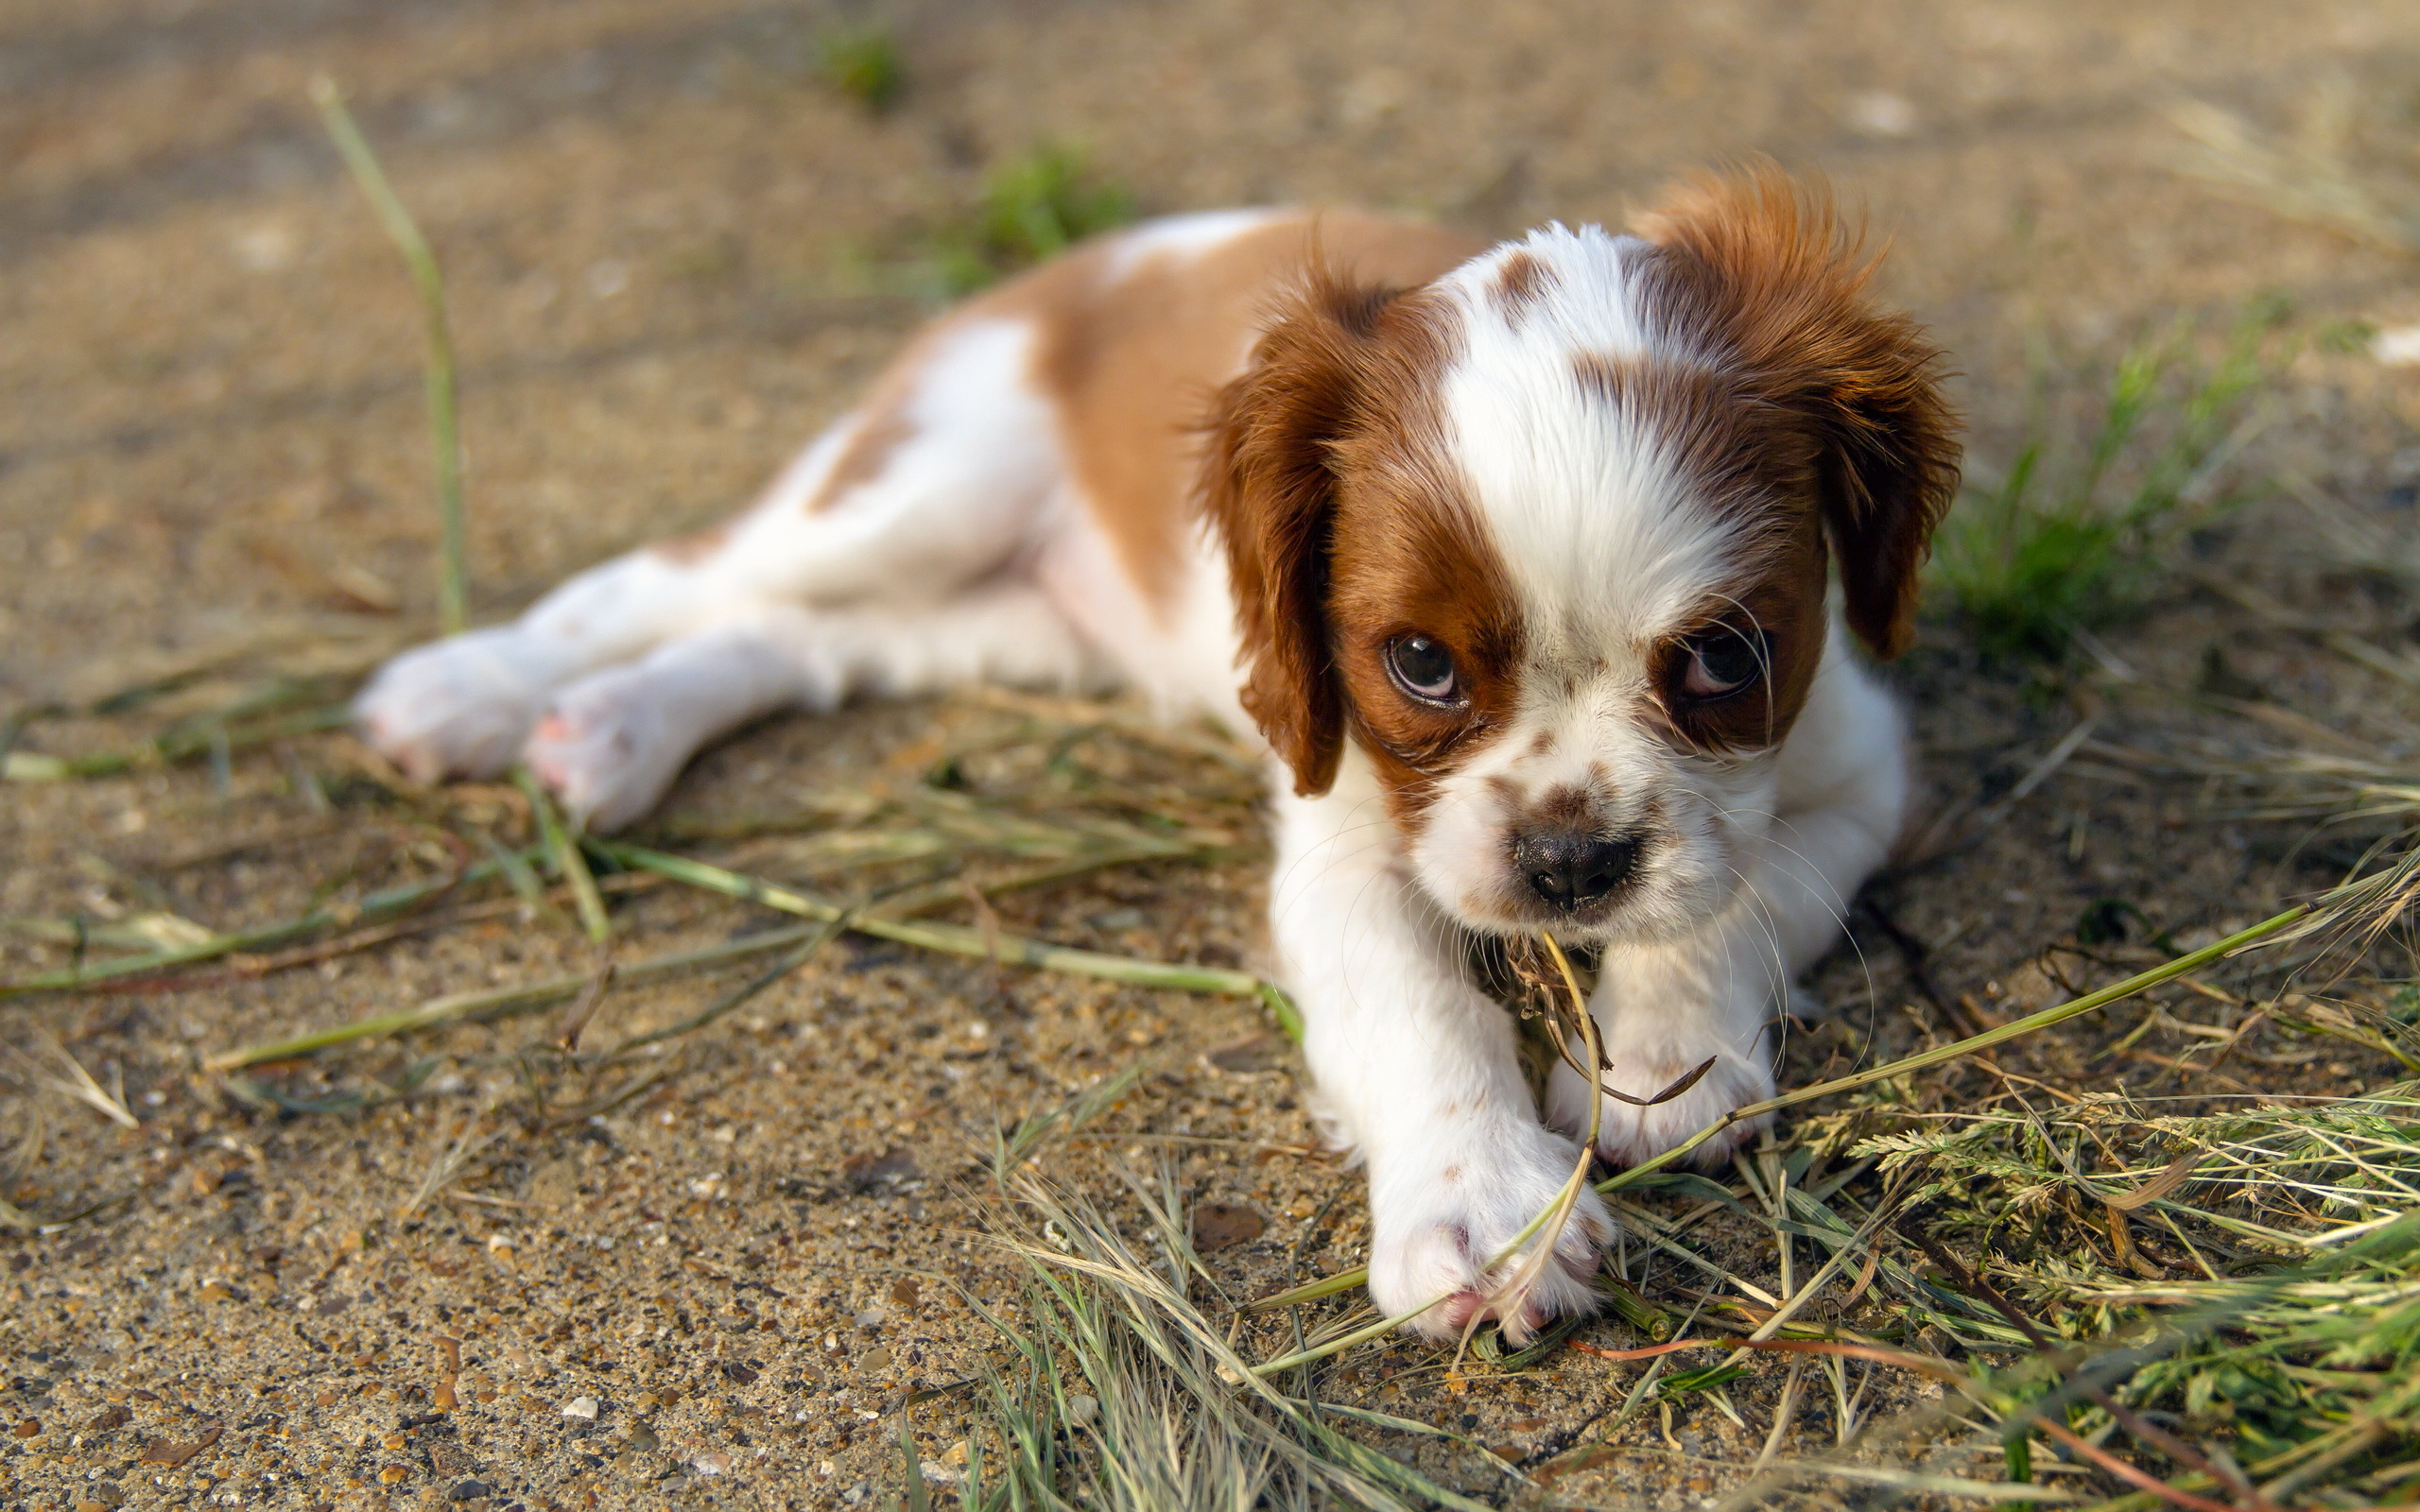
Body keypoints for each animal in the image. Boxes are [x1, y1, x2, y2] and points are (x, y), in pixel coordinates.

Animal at [357, 170, 1955, 1335]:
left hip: (1008, 621)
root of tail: (1064, 266)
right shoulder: (1338, 839)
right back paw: (474, 692)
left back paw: (612, 736)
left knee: (789, 640)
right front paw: (1489, 1210)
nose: (1570, 866)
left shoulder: (1860, 767)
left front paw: (1664, 1063)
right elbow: (1418, 1010)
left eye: (1726, 658)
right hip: (925, 485)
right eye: (1421, 665)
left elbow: (1739, 898)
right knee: (668, 580)